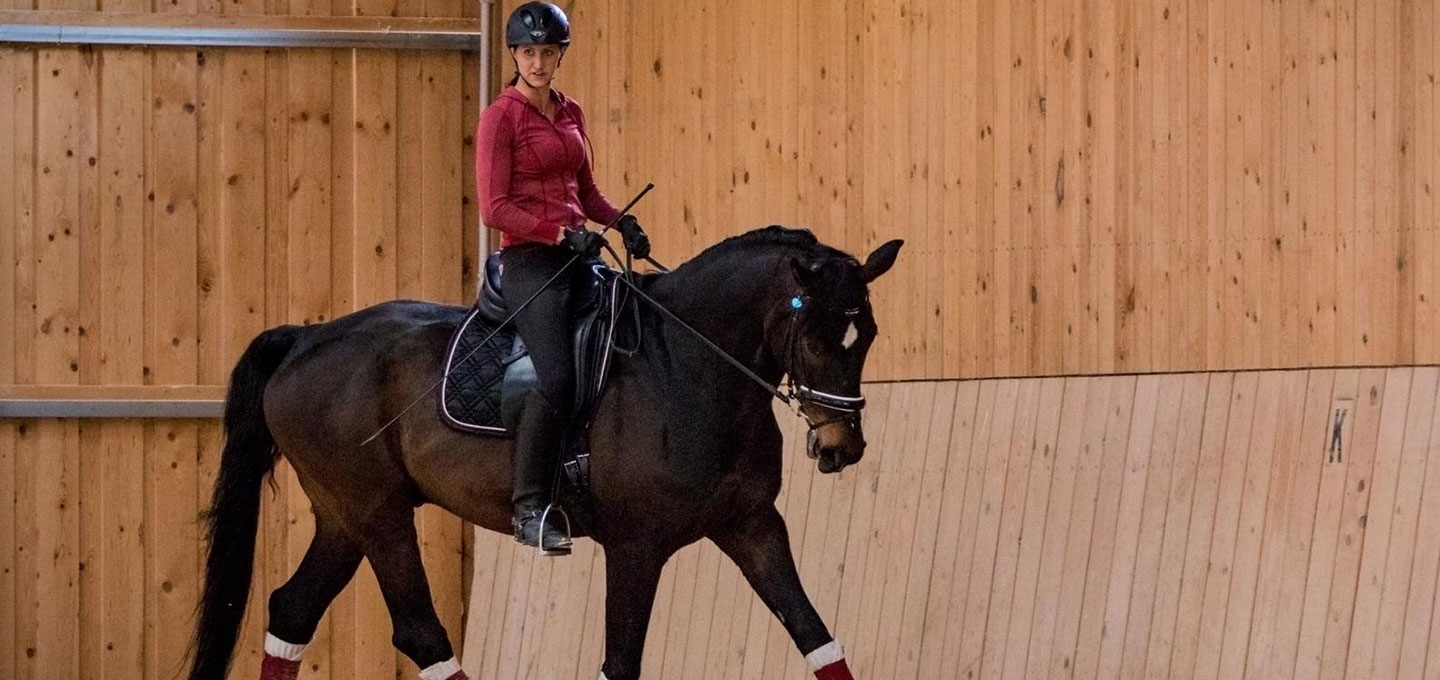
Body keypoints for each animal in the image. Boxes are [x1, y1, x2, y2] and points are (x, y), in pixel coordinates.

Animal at [180, 226, 898, 677]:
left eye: (866, 334)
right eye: (814, 338)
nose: (844, 445)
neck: (689, 369)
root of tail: (307, 338)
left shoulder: (751, 526)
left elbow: (813, 633)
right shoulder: (636, 546)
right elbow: (621, 662)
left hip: (342, 516)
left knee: (293, 610)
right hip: (376, 513)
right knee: (419, 631)